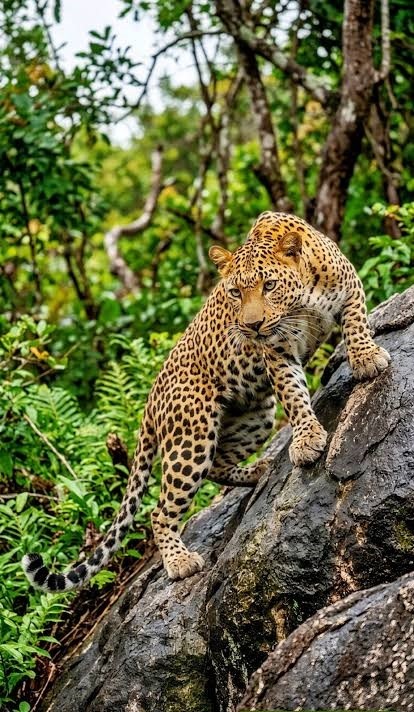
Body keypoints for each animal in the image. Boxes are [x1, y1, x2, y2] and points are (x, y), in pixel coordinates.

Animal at [22, 211, 390, 590]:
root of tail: (150, 399)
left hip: (254, 417)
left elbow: (356, 324)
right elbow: (293, 394)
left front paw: (365, 358)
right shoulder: (277, 351)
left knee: (216, 466)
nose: (252, 325)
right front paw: (307, 439)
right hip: (192, 436)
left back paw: (258, 470)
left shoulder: (349, 286)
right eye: (235, 292)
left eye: (269, 285)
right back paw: (180, 561)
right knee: (160, 510)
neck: (300, 301)